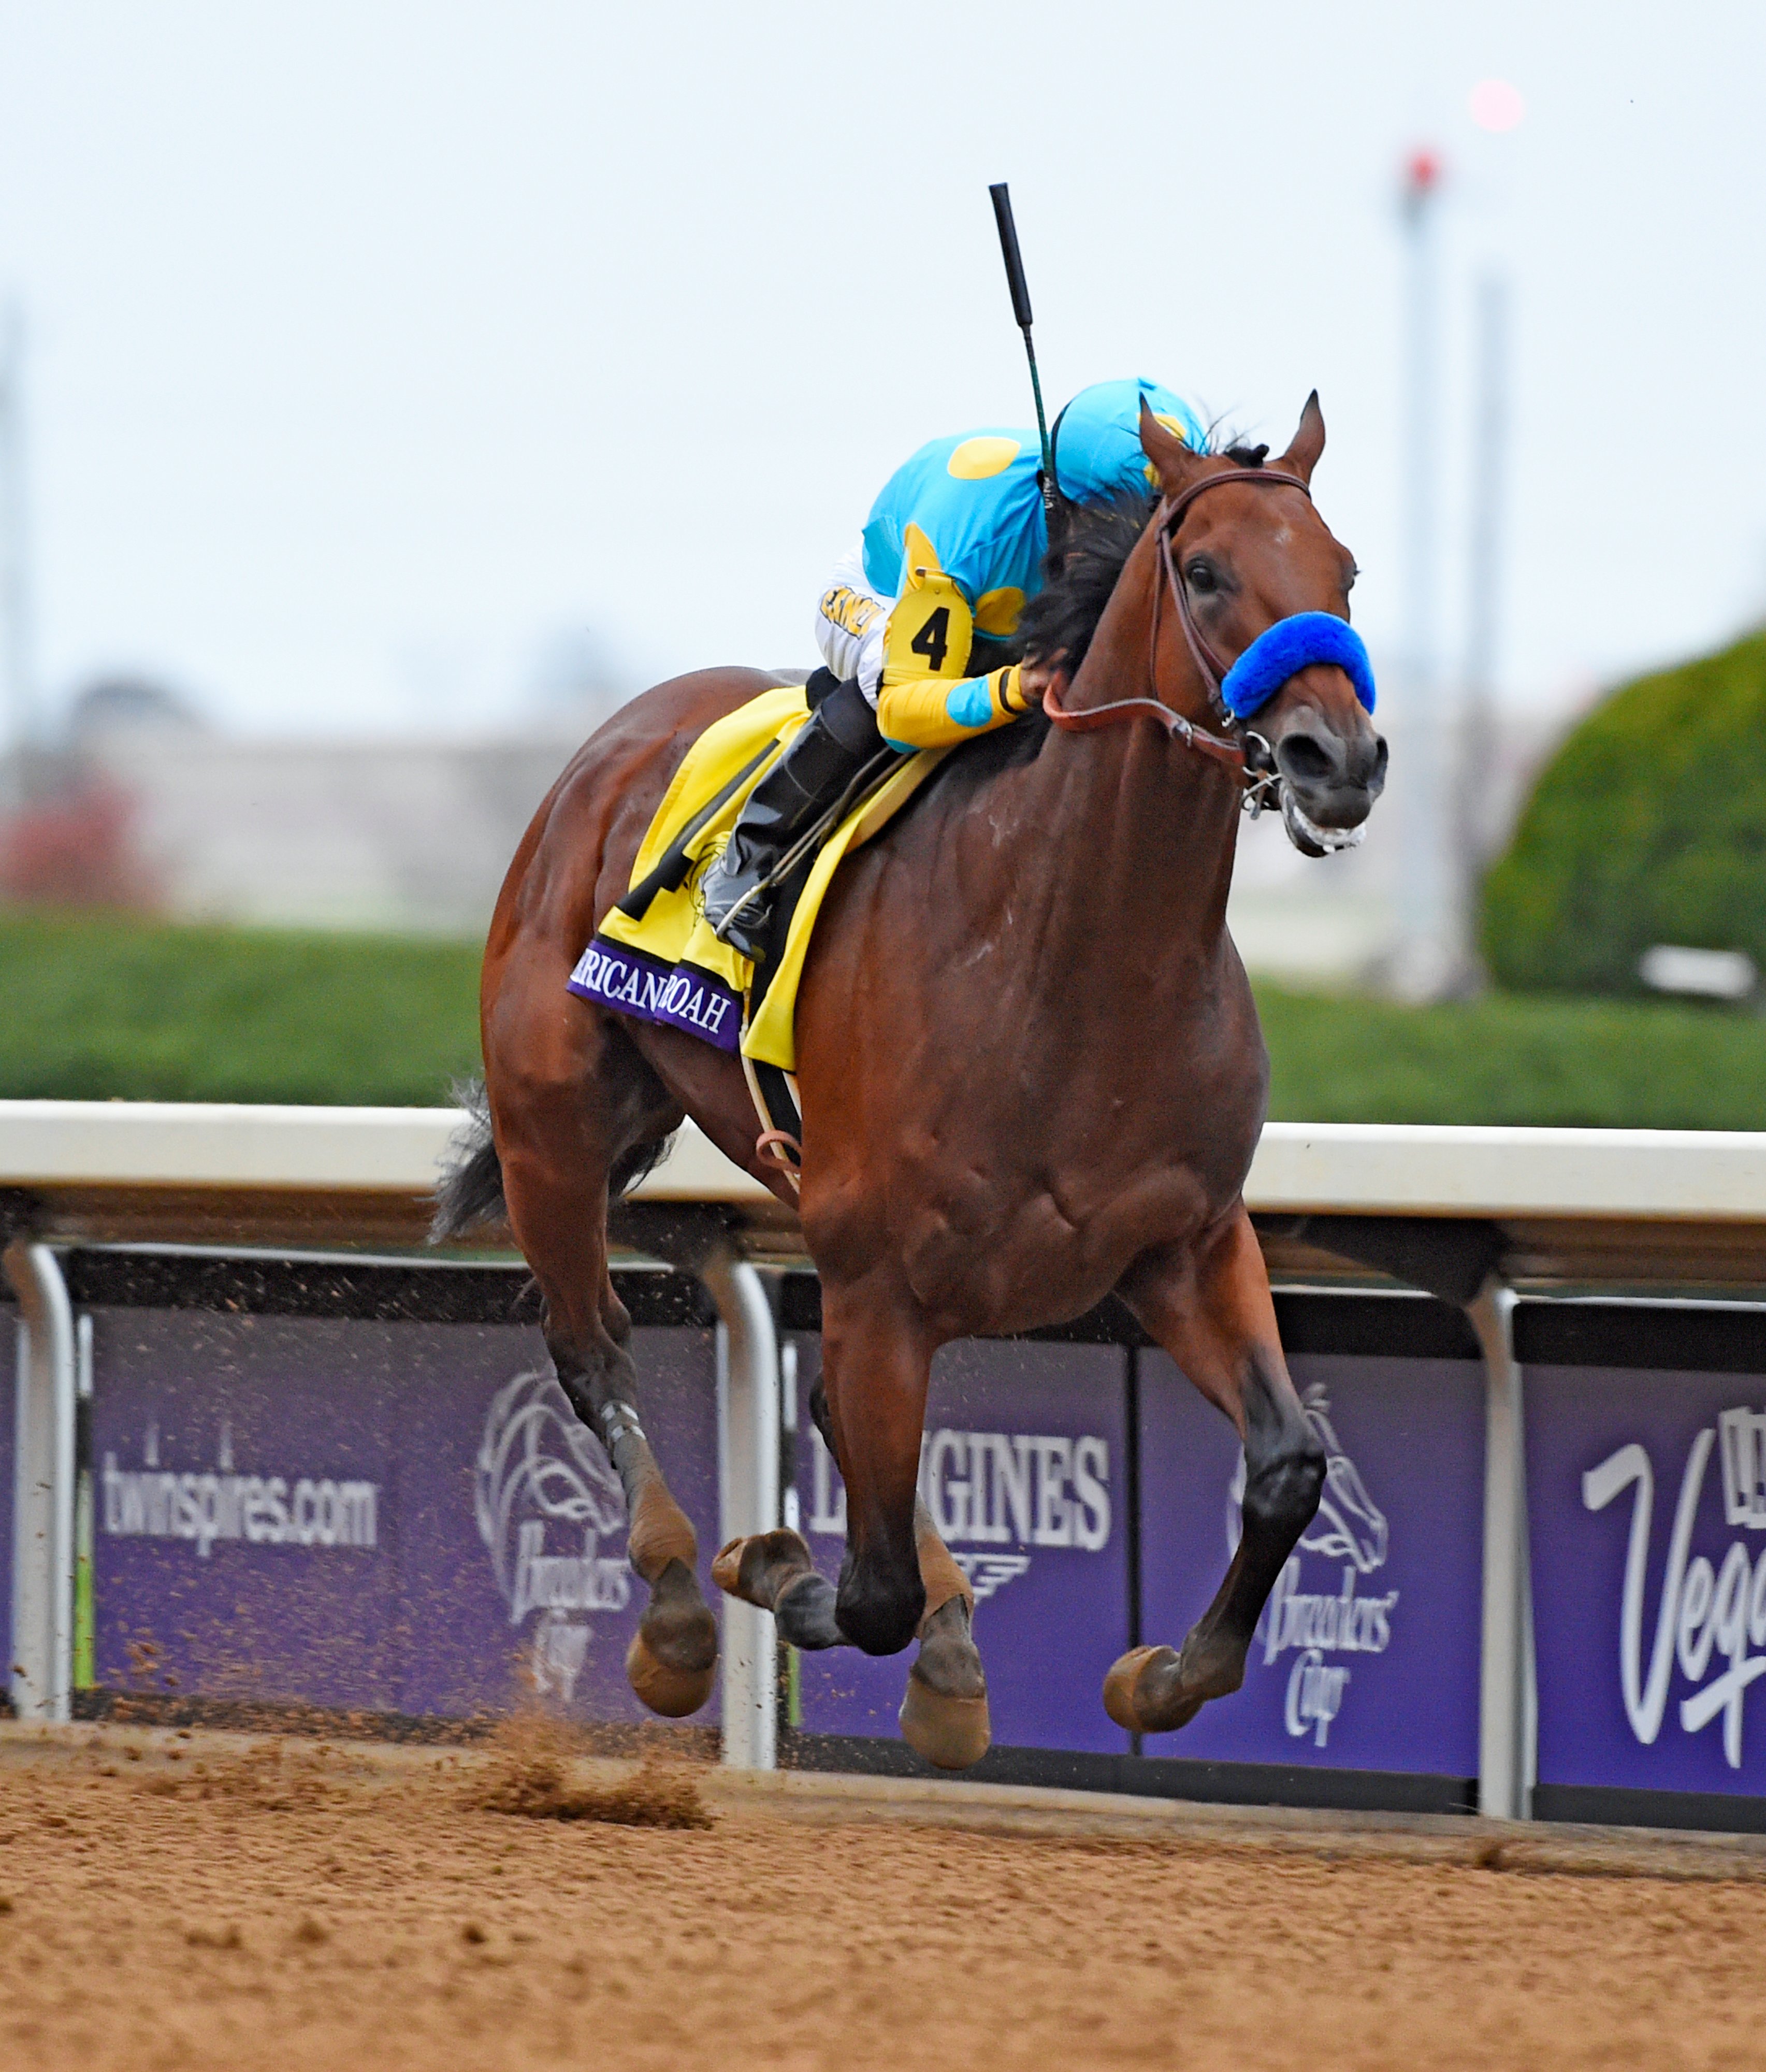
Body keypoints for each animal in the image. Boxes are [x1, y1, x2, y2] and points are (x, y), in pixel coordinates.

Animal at [437, 400, 1376, 1765]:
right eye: (1205, 573)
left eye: (1344, 573)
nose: (1337, 758)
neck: (1075, 960)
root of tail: (611, 743)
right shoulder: (875, 1270)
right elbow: (864, 1584)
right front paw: (770, 1563)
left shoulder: (1184, 1239)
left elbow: (1288, 1464)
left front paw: (1158, 1676)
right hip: (552, 1127)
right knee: (590, 1344)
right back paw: (677, 1607)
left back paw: (944, 1653)